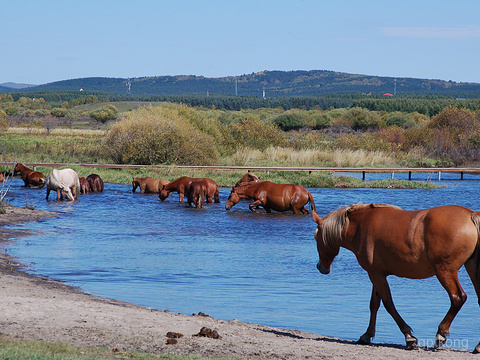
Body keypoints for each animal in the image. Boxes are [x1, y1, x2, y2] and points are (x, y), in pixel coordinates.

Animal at [314, 202, 480, 352]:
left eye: (316, 238)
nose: (320, 267)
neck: (360, 226)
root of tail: (471, 215)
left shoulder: (376, 275)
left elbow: (388, 304)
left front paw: (409, 337)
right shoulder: (376, 273)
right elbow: (374, 304)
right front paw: (366, 335)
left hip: (445, 271)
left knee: (457, 298)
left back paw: (441, 333)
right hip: (471, 268)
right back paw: (477, 346)